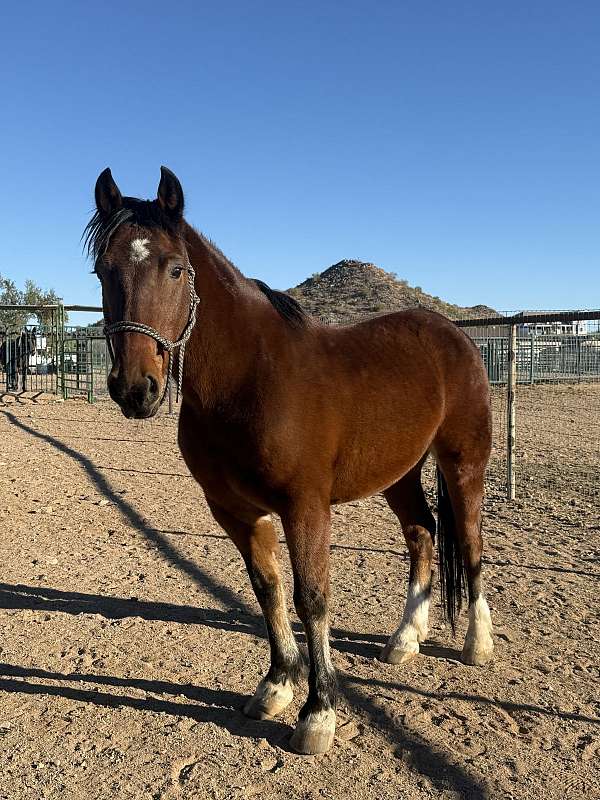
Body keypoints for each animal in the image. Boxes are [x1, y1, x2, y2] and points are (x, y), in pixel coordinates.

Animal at [85, 167, 496, 756]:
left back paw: (477, 644)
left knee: (469, 541)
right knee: (422, 533)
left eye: (175, 268)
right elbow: (268, 590)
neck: (250, 378)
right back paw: (405, 639)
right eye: (102, 270)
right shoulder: (235, 511)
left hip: (464, 463)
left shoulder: (305, 508)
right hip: (398, 473)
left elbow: (312, 598)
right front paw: (276, 686)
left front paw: (317, 714)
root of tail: (455, 334)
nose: (135, 389)